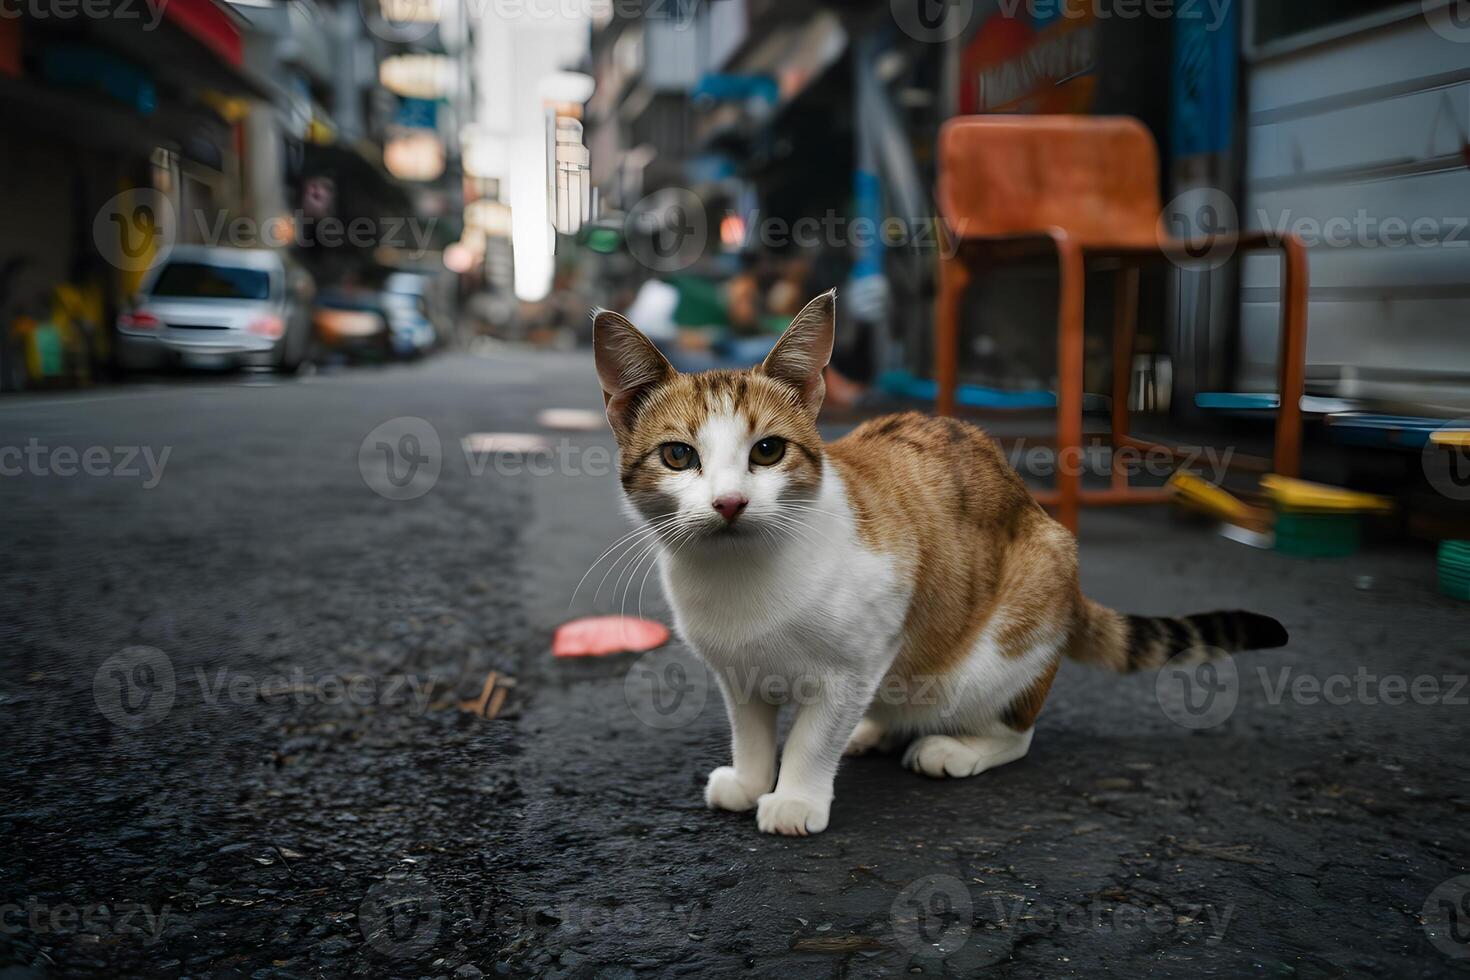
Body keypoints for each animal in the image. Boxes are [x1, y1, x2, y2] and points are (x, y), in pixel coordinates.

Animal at [590, 289, 1281, 834]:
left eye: (767, 451)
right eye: (678, 456)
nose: (730, 502)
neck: (740, 576)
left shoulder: (860, 657)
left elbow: (815, 735)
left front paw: (796, 798)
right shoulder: (738, 673)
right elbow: (751, 729)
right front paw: (754, 778)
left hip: (1005, 632)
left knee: (1016, 728)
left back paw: (956, 748)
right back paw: (874, 730)